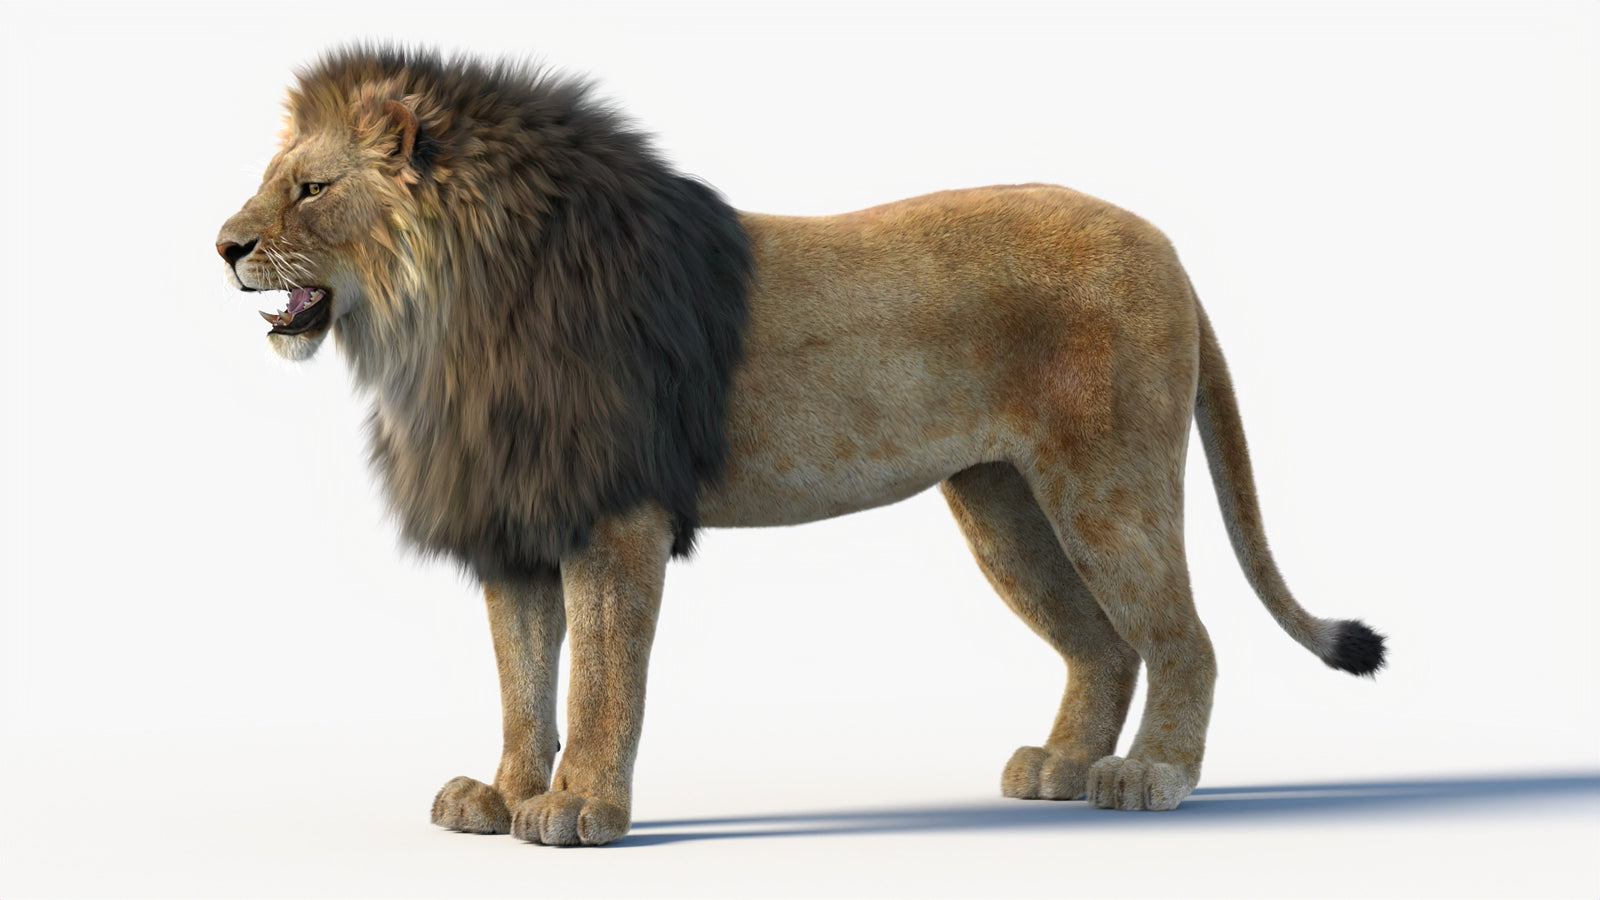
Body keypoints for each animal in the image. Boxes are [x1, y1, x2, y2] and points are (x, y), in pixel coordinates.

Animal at [217, 45, 1385, 846]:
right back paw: (1059, 765)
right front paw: (503, 796)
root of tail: (1165, 247)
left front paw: (580, 807)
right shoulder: (518, 517)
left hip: (1106, 484)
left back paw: (1152, 778)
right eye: (274, 180)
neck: (440, 320)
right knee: (1103, 644)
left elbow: (598, 681)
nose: (223, 245)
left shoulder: (615, 517)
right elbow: (522, 678)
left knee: (1185, 638)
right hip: (1003, 503)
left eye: (311, 187)